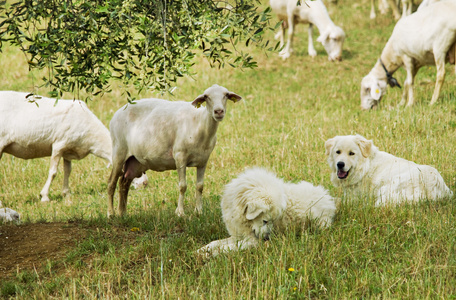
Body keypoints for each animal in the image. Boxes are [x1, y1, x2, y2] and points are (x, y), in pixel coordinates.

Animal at [107, 84, 242, 218]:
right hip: (119, 151)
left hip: (135, 161)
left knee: (124, 183)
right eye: (206, 96)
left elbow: (200, 186)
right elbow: (182, 186)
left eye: (226, 95)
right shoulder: (180, 156)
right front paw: (180, 212)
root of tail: (117, 113)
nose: (218, 111)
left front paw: (199, 211)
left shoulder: (203, 160)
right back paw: (111, 214)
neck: (199, 124)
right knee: (111, 183)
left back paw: (122, 213)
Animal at [198, 168, 336, 256]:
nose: (267, 238)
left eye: (271, 221)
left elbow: (228, 247)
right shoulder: (238, 235)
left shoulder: (252, 240)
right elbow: (215, 242)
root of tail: (328, 197)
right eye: (265, 221)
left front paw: (210, 254)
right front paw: (202, 250)